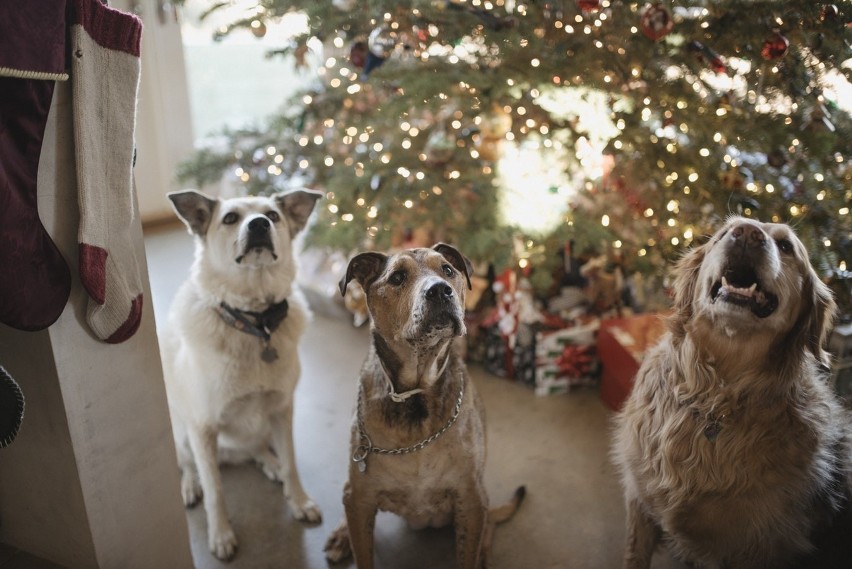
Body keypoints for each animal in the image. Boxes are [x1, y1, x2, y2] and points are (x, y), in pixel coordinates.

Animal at [160, 187, 322, 560]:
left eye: (273, 215)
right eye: (231, 218)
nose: (260, 225)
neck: (255, 323)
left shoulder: (281, 410)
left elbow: (291, 462)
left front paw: (299, 499)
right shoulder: (202, 427)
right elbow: (215, 490)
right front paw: (221, 534)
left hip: (262, 426)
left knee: (257, 448)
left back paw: (269, 463)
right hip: (181, 431)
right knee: (187, 463)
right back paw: (189, 485)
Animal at [326, 243, 524, 568]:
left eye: (448, 270)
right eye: (397, 277)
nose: (440, 291)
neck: (415, 396)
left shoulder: (471, 499)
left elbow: (469, 553)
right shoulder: (361, 497)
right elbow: (363, 552)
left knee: (490, 525)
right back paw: (341, 536)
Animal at [616, 215, 848, 564]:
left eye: (786, 246)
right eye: (725, 233)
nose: (747, 234)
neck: (714, 396)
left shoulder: (750, 548)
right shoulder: (638, 500)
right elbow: (634, 554)